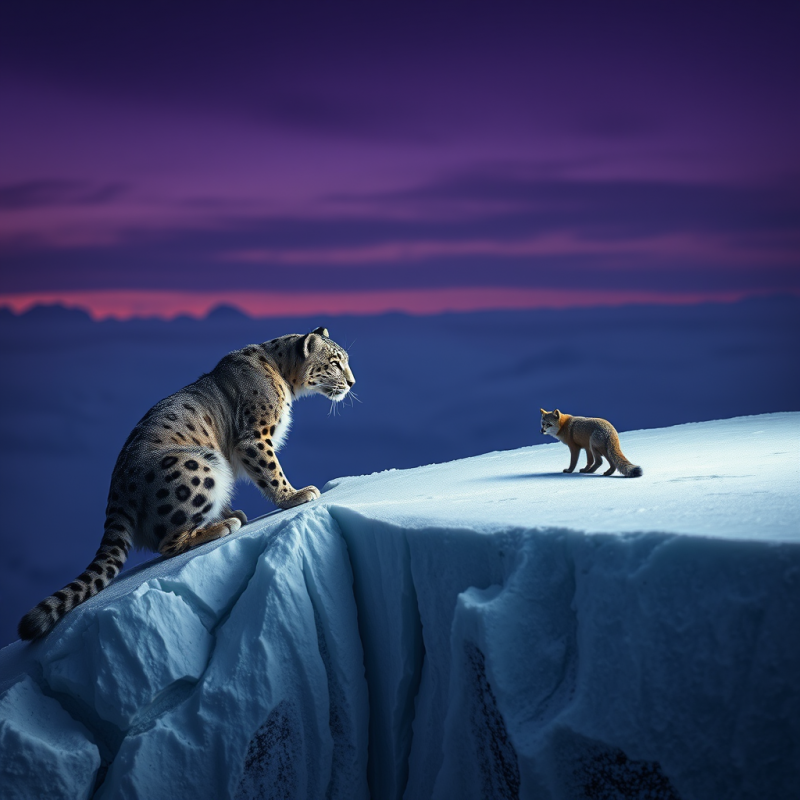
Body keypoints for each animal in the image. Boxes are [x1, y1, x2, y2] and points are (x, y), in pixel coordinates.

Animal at [18, 326, 354, 641]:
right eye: (335, 362)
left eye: (345, 360)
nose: (352, 382)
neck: (283, 377)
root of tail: (118, 489)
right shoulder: (255, 439)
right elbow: (271, 471)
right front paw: (295, 495)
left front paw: (238, 509)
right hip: (199, 466)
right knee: (168, 543)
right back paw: (222, 526)